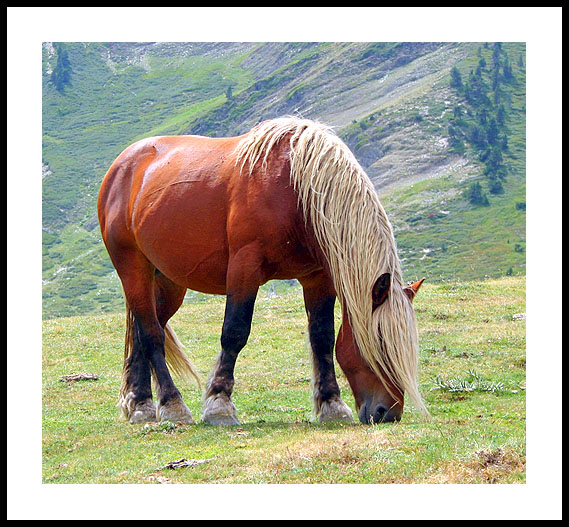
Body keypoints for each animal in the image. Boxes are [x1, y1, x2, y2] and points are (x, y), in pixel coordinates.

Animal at [97, 117, 426, 426]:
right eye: (381, 344)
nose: (387, 413)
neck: (297, 190)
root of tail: (122, 165)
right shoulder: (245, 268)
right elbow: (234, 332)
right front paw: (219, 404)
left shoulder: (318, 278)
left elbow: (322, 338)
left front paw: (331, 405)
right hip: (133, 269)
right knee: (151, 332)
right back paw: (171, 404)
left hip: (169, 282)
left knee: (142, 331)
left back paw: (140, 404)